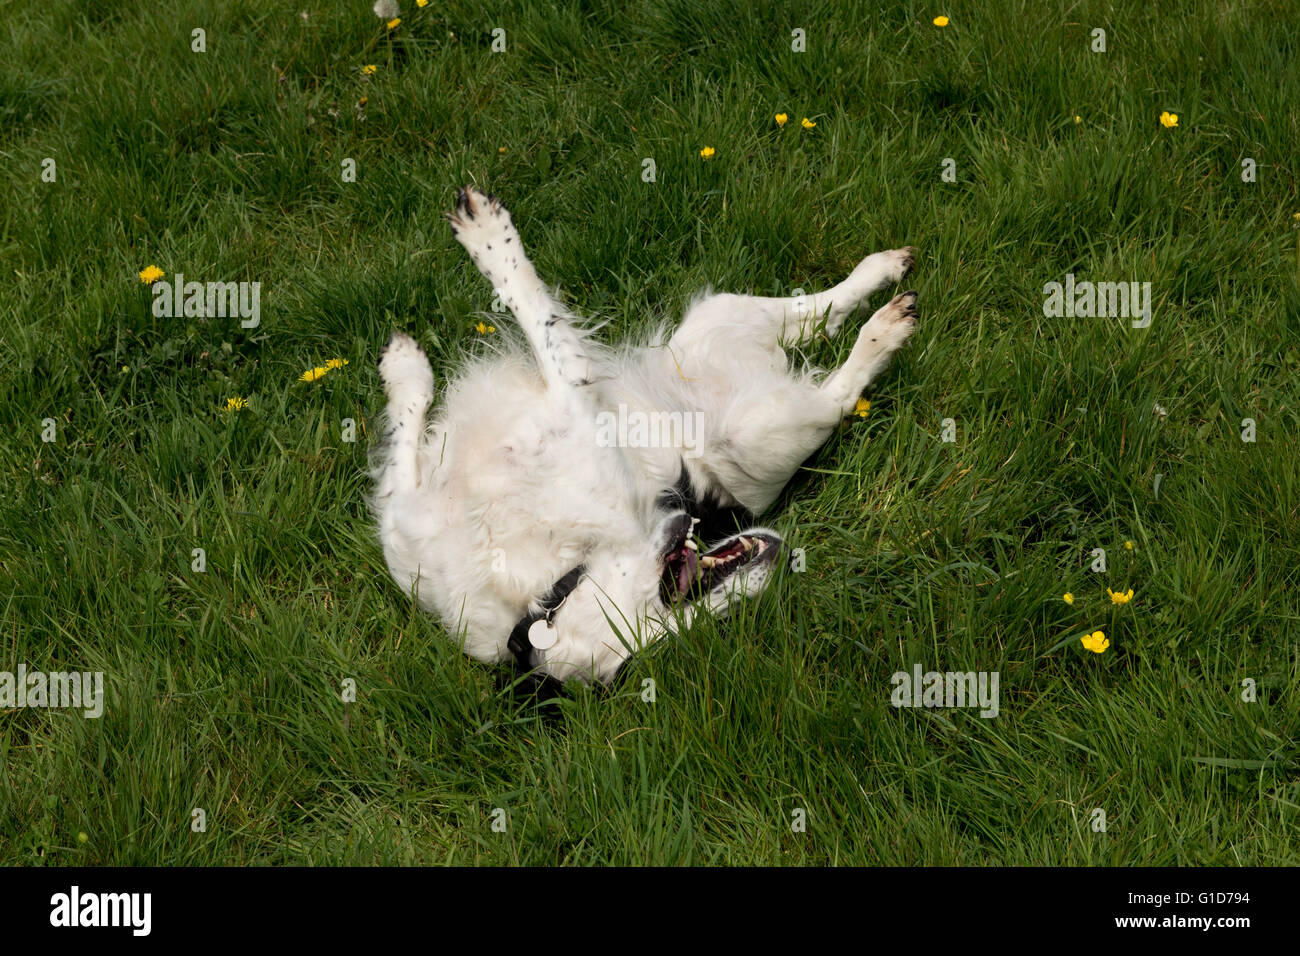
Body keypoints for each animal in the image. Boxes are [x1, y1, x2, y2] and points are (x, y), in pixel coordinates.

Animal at [366, 183, 920, 686]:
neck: (546, 584)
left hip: (736, 373)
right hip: (740, 378)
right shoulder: (412, 516)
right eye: (695, 624)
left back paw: (885, 297)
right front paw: (408, 366)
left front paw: (483, 237)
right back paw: (885, 300)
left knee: (827, 347)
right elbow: (412, 434)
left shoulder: (566, 409)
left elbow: (527, 310)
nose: (776, 568)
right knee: (824, 346)